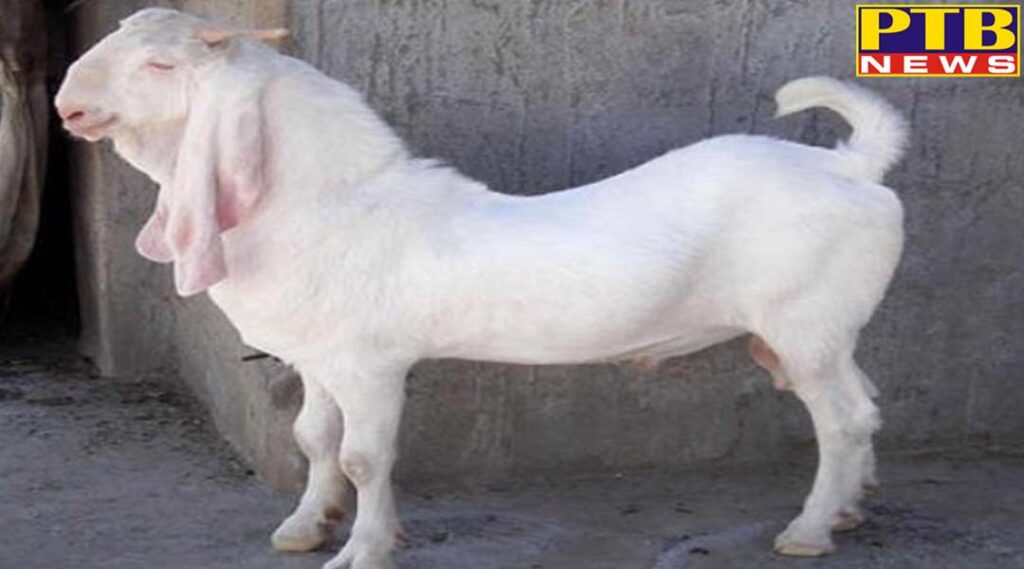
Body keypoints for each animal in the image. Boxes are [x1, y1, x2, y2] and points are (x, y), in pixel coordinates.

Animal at [56, 8, 907, 569]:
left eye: (161, 66)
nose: (68, 104)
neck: (336, 200)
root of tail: (854, 164)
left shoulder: (371, 364)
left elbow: (365, 455)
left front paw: (365, 548)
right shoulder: (321, 356)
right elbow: (313, 438)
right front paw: (306, 525)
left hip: (805, 324)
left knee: (841, 419)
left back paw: (808, 529)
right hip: (821, 332)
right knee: (864, 404)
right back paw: (850, 510)